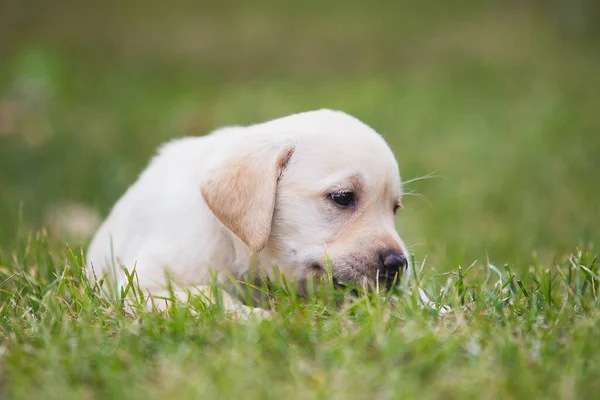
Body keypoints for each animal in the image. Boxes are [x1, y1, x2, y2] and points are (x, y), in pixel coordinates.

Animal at [86, 109, 410, 316]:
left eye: (394, 208)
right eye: (342, 198)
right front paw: (261, 319)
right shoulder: (142, 285)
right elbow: (208, 295)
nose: (399, 264)